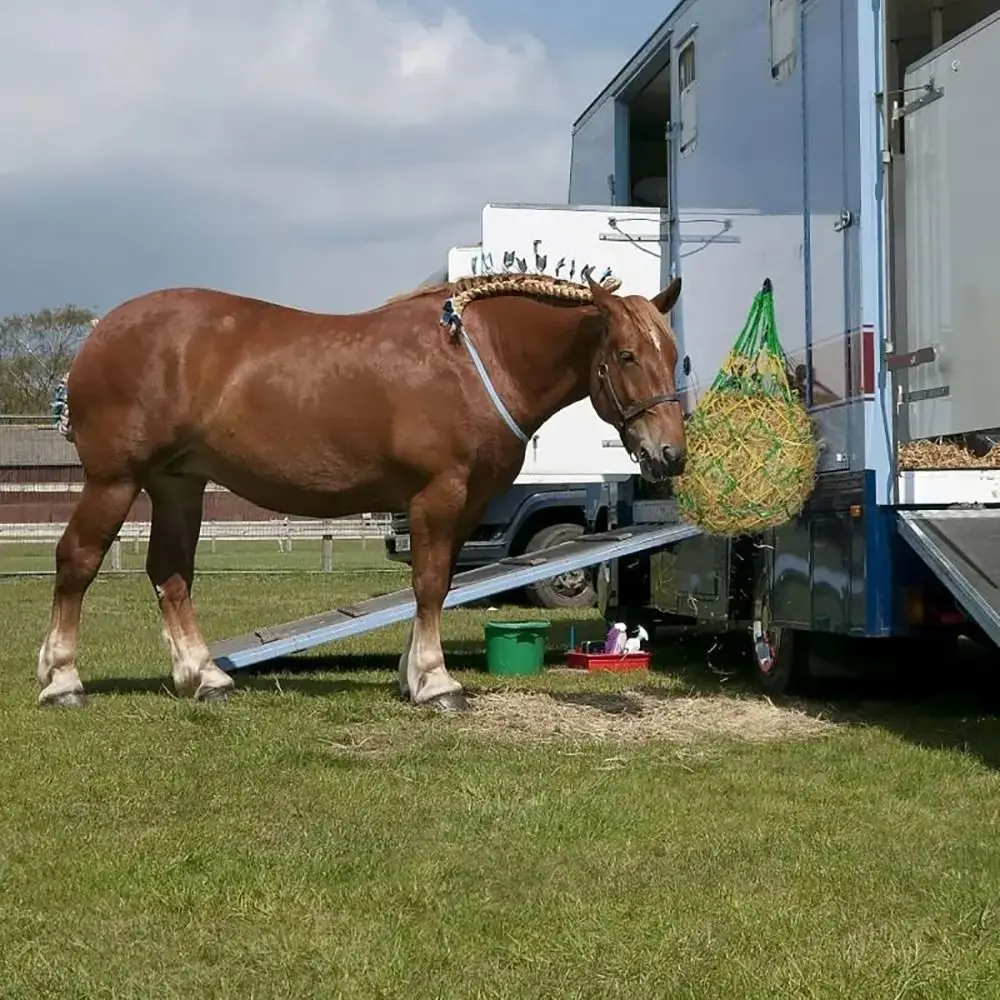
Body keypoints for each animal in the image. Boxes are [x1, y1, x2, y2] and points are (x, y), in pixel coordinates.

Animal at [38, 270, 686, 714]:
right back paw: (62, 680)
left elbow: (437, 583)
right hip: (115, 480)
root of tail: (99, 334)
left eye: (673, 355)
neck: (476, 361)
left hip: (178, 484)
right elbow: (429, 584)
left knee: (170, 573)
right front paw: (436, 681)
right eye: (627, 355)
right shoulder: (437, 495)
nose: (670, 453)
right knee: (78, 560)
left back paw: (204, 677)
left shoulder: (466, 504)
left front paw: (411, 676)